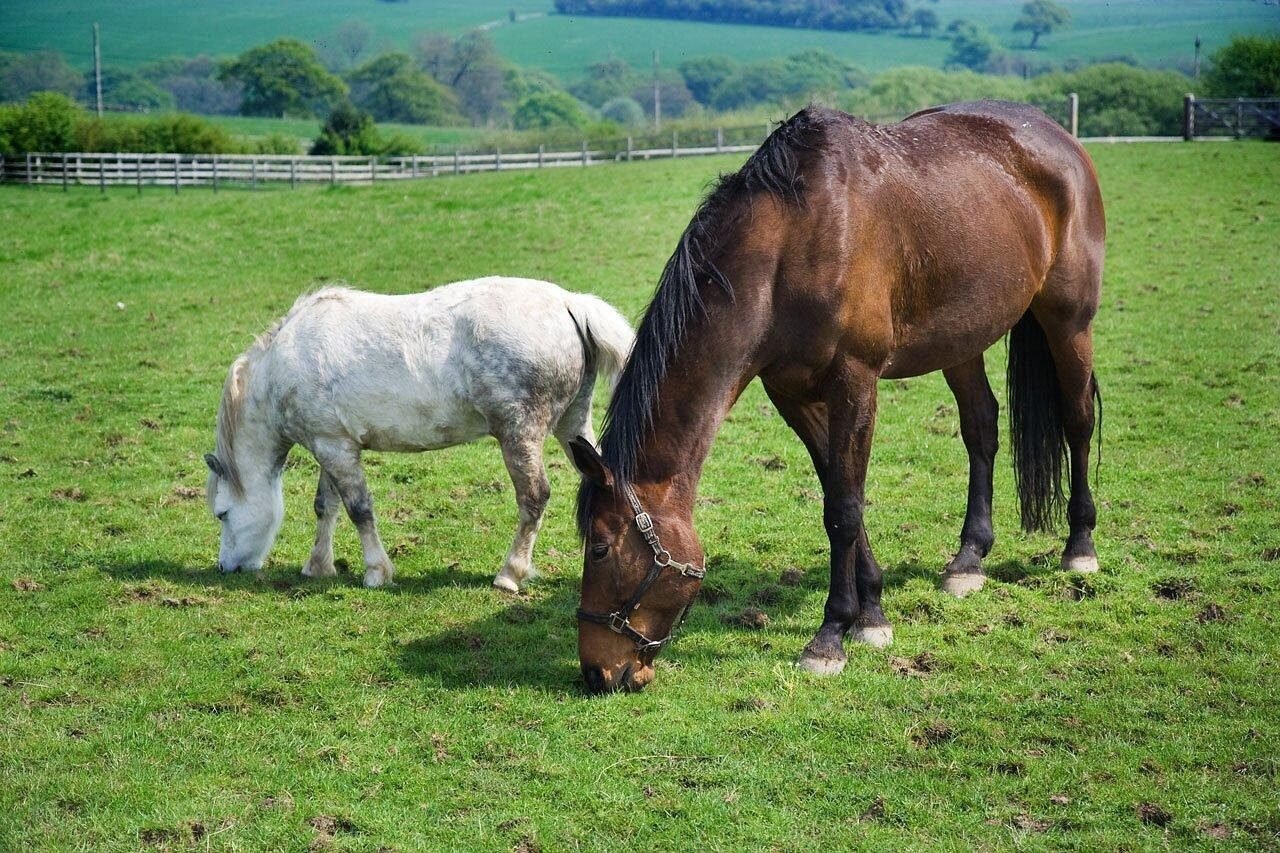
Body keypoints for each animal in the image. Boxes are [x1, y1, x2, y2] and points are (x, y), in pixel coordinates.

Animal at [204, 276, 634, 591]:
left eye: (222, 513)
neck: (286, 363)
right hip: (573, 425)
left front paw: (376, 572)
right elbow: (327, 506)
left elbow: (359, 509)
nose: (226, 567)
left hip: (519, 434)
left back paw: (510, 574)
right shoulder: (331, 444)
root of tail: (569, 304)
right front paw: (318, 566)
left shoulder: (336, 449)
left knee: (534, 498)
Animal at [571, 102, 1105, 693]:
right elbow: (837, 491)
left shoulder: (855, 380)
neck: (791, 244)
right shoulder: (792, 394)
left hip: (1069, 320)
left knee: (1078, 419)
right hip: (961, 339)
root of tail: (1056, 135)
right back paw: (969, 560)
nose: (598, 672)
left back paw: (1080, 546)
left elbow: (845, 509)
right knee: (981, 428)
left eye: (600, 547)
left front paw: (830, 636)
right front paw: (870, 613)